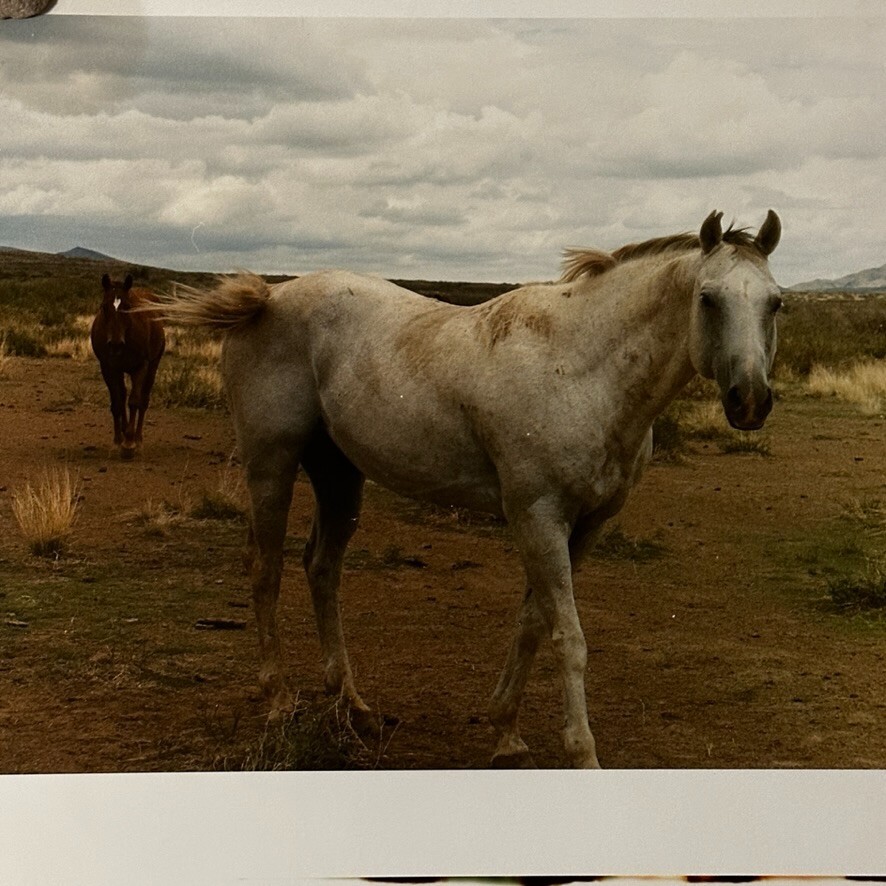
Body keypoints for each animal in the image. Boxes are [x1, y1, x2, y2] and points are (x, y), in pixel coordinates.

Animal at [90, 273, 166, 458]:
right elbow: (117, 402)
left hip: (152, 366)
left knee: (144, 400)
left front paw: (129, 443)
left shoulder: (140, 367)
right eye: (104, 307)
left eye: (128, 307)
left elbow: (134, 401)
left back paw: (138, 439)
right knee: (123, 395)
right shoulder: (108, 368)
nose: (115, 344)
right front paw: (118, 441)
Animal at [160, 209, 782, 768]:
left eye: (775, 302)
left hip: (338, 475)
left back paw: (351, 704)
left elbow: (534, 623)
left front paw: (505, 729)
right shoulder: (537, 516)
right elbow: (568, 637)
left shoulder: (585, 526)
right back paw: (278, 699)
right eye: (708, 298)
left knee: (321, 568)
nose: (750, 400)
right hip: (272, 463)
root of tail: (267, 297)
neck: (582, 372)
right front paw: (582, 753)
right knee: (265, 567)